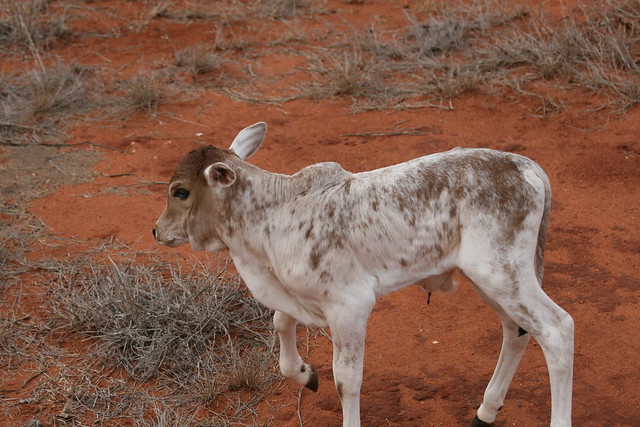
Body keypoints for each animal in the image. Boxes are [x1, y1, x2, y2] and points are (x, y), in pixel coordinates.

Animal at [153, 122, 574, 427]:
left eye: (180, 192)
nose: (157, 230)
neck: (273, 212)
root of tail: (528, 167)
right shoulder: (295, 294)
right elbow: (281, 325)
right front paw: (305, 374)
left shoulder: (349, 306)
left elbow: (346, 380)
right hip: (495, 281)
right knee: (517, 331)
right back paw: (484, 412)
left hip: (502, 275)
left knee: (557, 329)